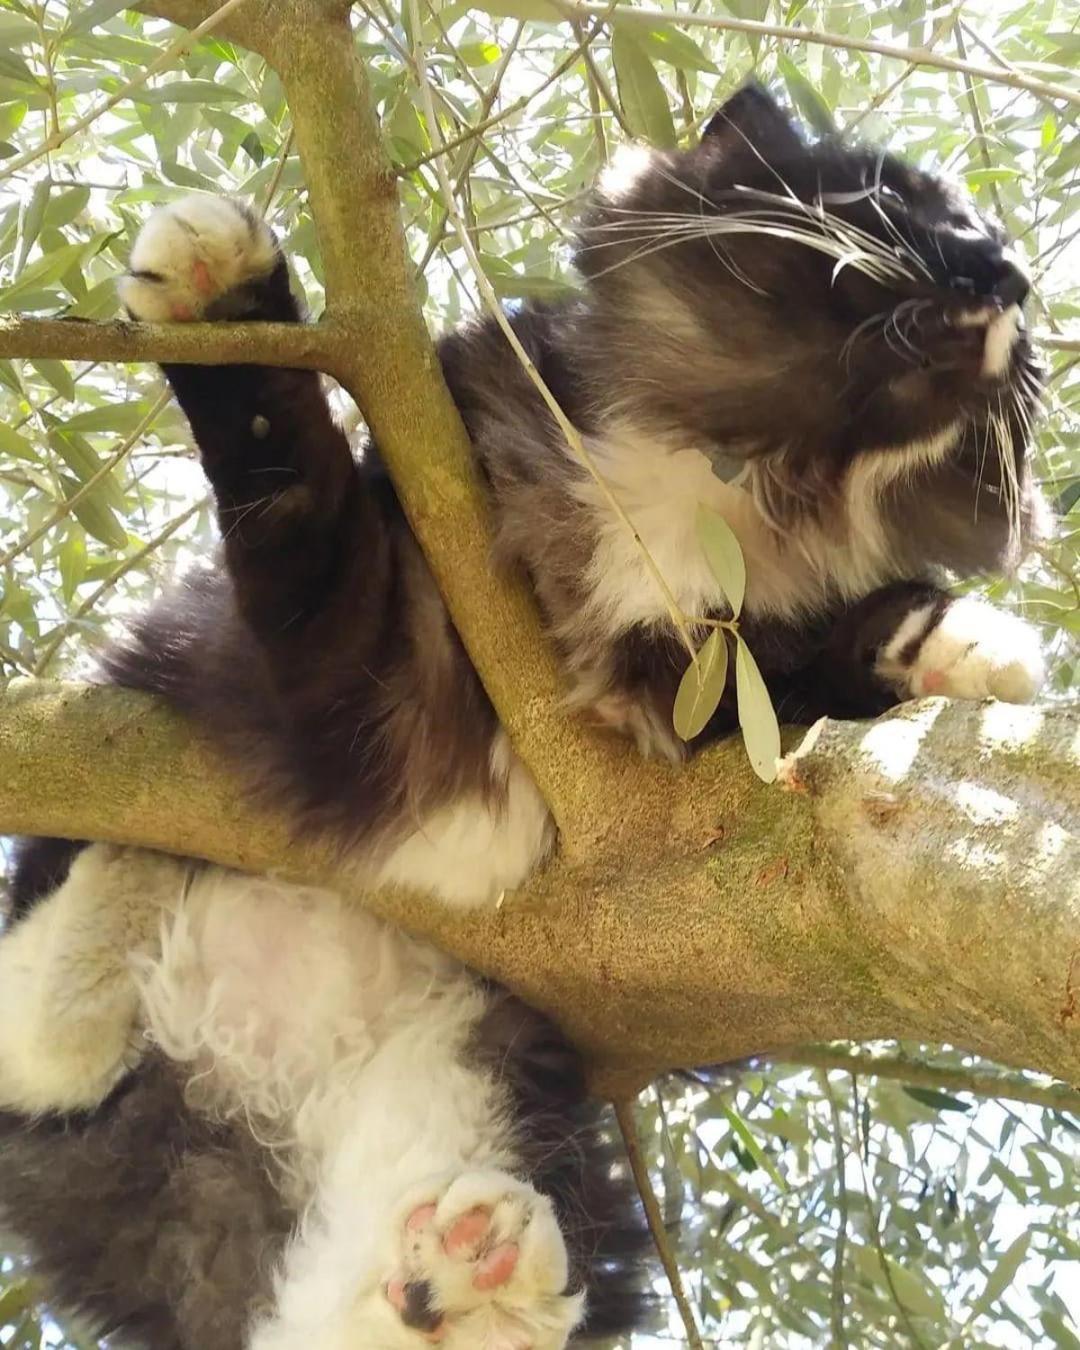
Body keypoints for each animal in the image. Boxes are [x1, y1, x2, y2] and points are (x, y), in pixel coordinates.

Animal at [0, 87, 1047, 1350]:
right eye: (902, 196)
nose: (1011, 271)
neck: (736, 477)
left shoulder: (714, 696)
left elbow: (823, 654)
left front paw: (968, 652)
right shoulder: (380, 648)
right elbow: (295, 483)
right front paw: (227, 287)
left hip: (478, 1085)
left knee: (357, 1288)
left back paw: (467, 1278)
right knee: (41, 1044)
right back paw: (118, 896)